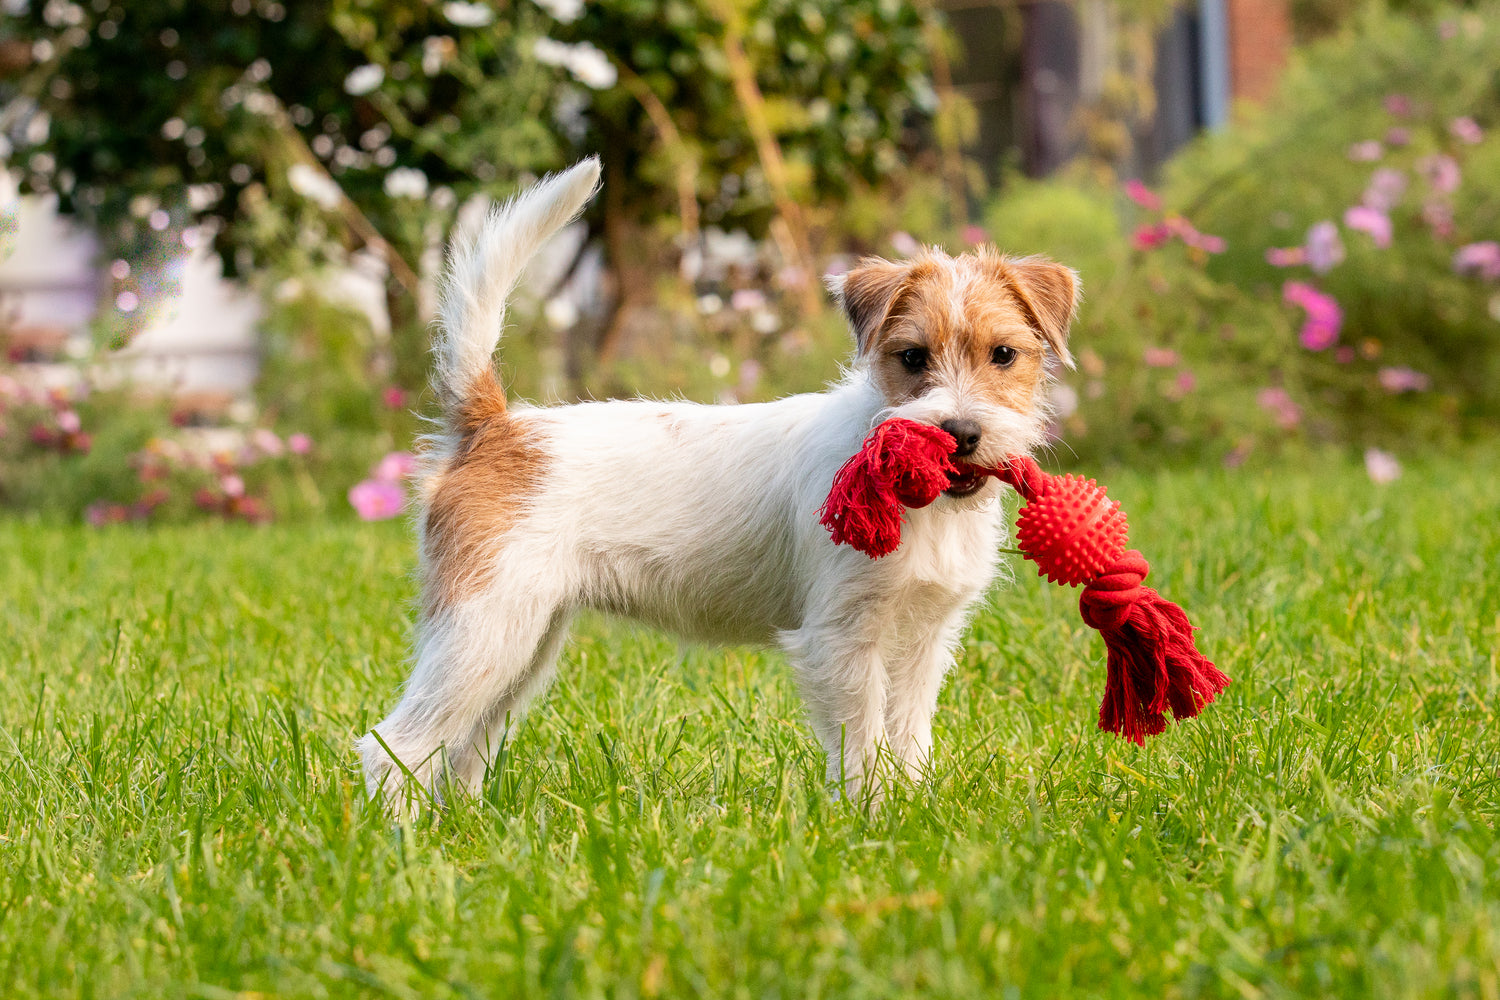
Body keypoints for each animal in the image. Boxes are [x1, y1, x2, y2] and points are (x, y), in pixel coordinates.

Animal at [355, 158, 1074, 815]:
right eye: (913, 357)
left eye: (1003, 355)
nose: (960, 434)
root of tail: (495, 426)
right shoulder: (841, 640)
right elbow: (863, 744)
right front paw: (867, 818)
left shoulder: (924, 639)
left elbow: (907, 737)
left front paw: (914, 812)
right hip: (484, 629)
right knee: (396, 744)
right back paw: (406, 842)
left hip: (522, 642)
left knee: (463, 748)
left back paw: (469, 831)